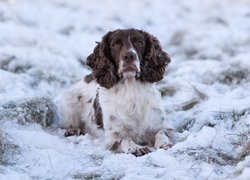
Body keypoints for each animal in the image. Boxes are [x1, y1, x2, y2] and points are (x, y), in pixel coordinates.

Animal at [58, 28, 173, 156]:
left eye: (140, 42)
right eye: (115, 44)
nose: (129, 56)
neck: (131, 91)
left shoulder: (159, 125)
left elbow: (161, 133)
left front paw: (164, 144)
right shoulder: (113, 137)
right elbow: (126, 140)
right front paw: (138, 148)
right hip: (69, 103)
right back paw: (73, 130)